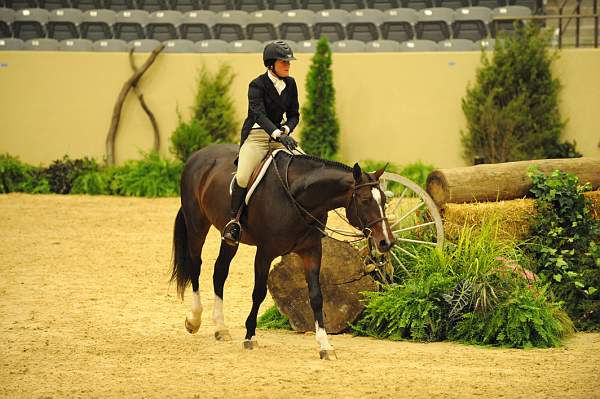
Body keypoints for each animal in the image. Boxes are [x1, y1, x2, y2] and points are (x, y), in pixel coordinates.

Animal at [169, 143, 394, 360]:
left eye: (384, 200)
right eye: (364, 200)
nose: (386, 242)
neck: (297, 198)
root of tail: (197, 155)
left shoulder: (312, 251)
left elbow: (316, 296)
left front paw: (325, 345)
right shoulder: (265, 252)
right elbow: (258, 293)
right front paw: (250, 336)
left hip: (230, 239)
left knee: (220, 272)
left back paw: (220, 327)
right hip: (197, 225)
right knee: (196, 266)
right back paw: (194, 320)